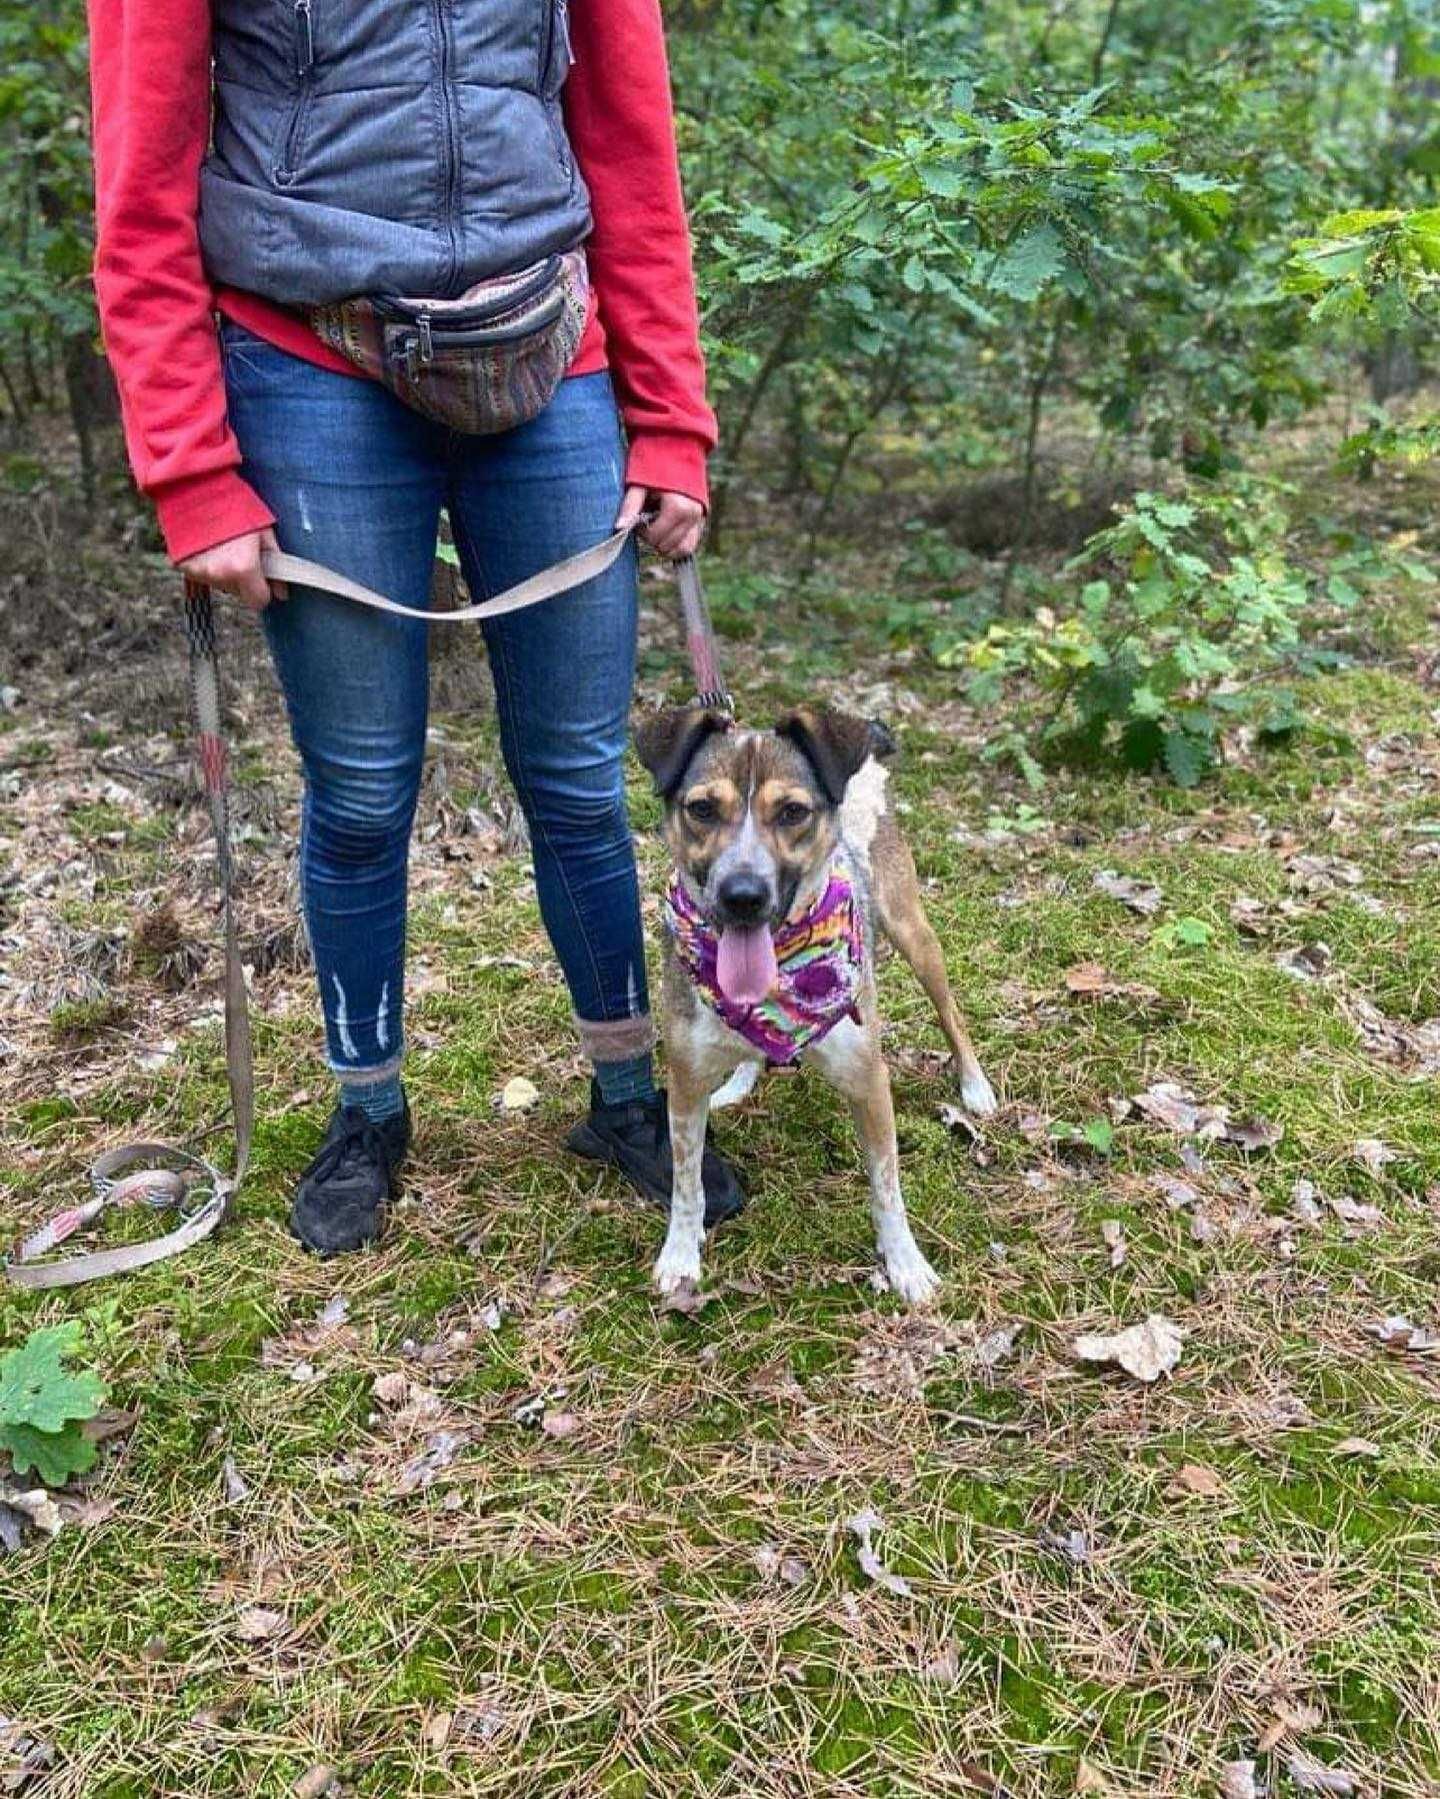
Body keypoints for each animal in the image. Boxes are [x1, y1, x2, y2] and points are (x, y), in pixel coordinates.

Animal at [637, 701, 993, 1309]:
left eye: (792, 812)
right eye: (702, 809)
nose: (742, 896)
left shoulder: (867, 1080)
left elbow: (887, 1186)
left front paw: (905, 1263)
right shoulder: (683, 1083)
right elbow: (686, 1183)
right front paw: (681, 1254)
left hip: (914, 934)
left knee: (951, 1013)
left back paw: (974, 1086)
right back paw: (738, 1080)